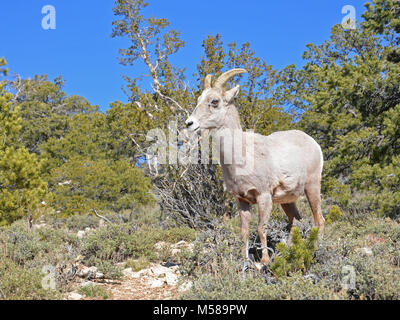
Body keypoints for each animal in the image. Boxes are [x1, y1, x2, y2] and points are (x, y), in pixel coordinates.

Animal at [185, 69, 324, 266]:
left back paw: (317, 250)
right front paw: (245, 260)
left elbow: (260, 228)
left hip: (312, 187)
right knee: (296, 221)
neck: (241, 158)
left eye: (215, 101)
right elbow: (244, 231)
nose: (189, 124)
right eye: (199, 99)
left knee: (319, 220)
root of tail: (313, 143)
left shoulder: (263, 196)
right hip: (288, 200)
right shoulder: (242, 200)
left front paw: (264, 261)